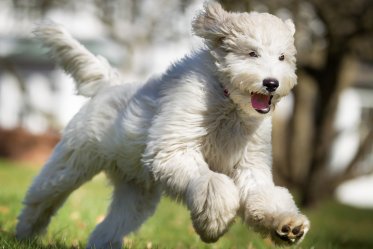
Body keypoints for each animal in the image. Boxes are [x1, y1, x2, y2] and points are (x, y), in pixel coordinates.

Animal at [16, 2, 310, 249]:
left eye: (282, 57)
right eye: (252, 53)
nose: (271, 83)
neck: (227, 101)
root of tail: (110, 84)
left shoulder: (250, 166)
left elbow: (266, 196)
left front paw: (288, 225)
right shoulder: (175, 149)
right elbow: (213, 182)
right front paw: (213, 224)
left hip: (136, 192)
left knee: (110, 225)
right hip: (72, 164)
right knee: (41, 199)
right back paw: (24, 234)